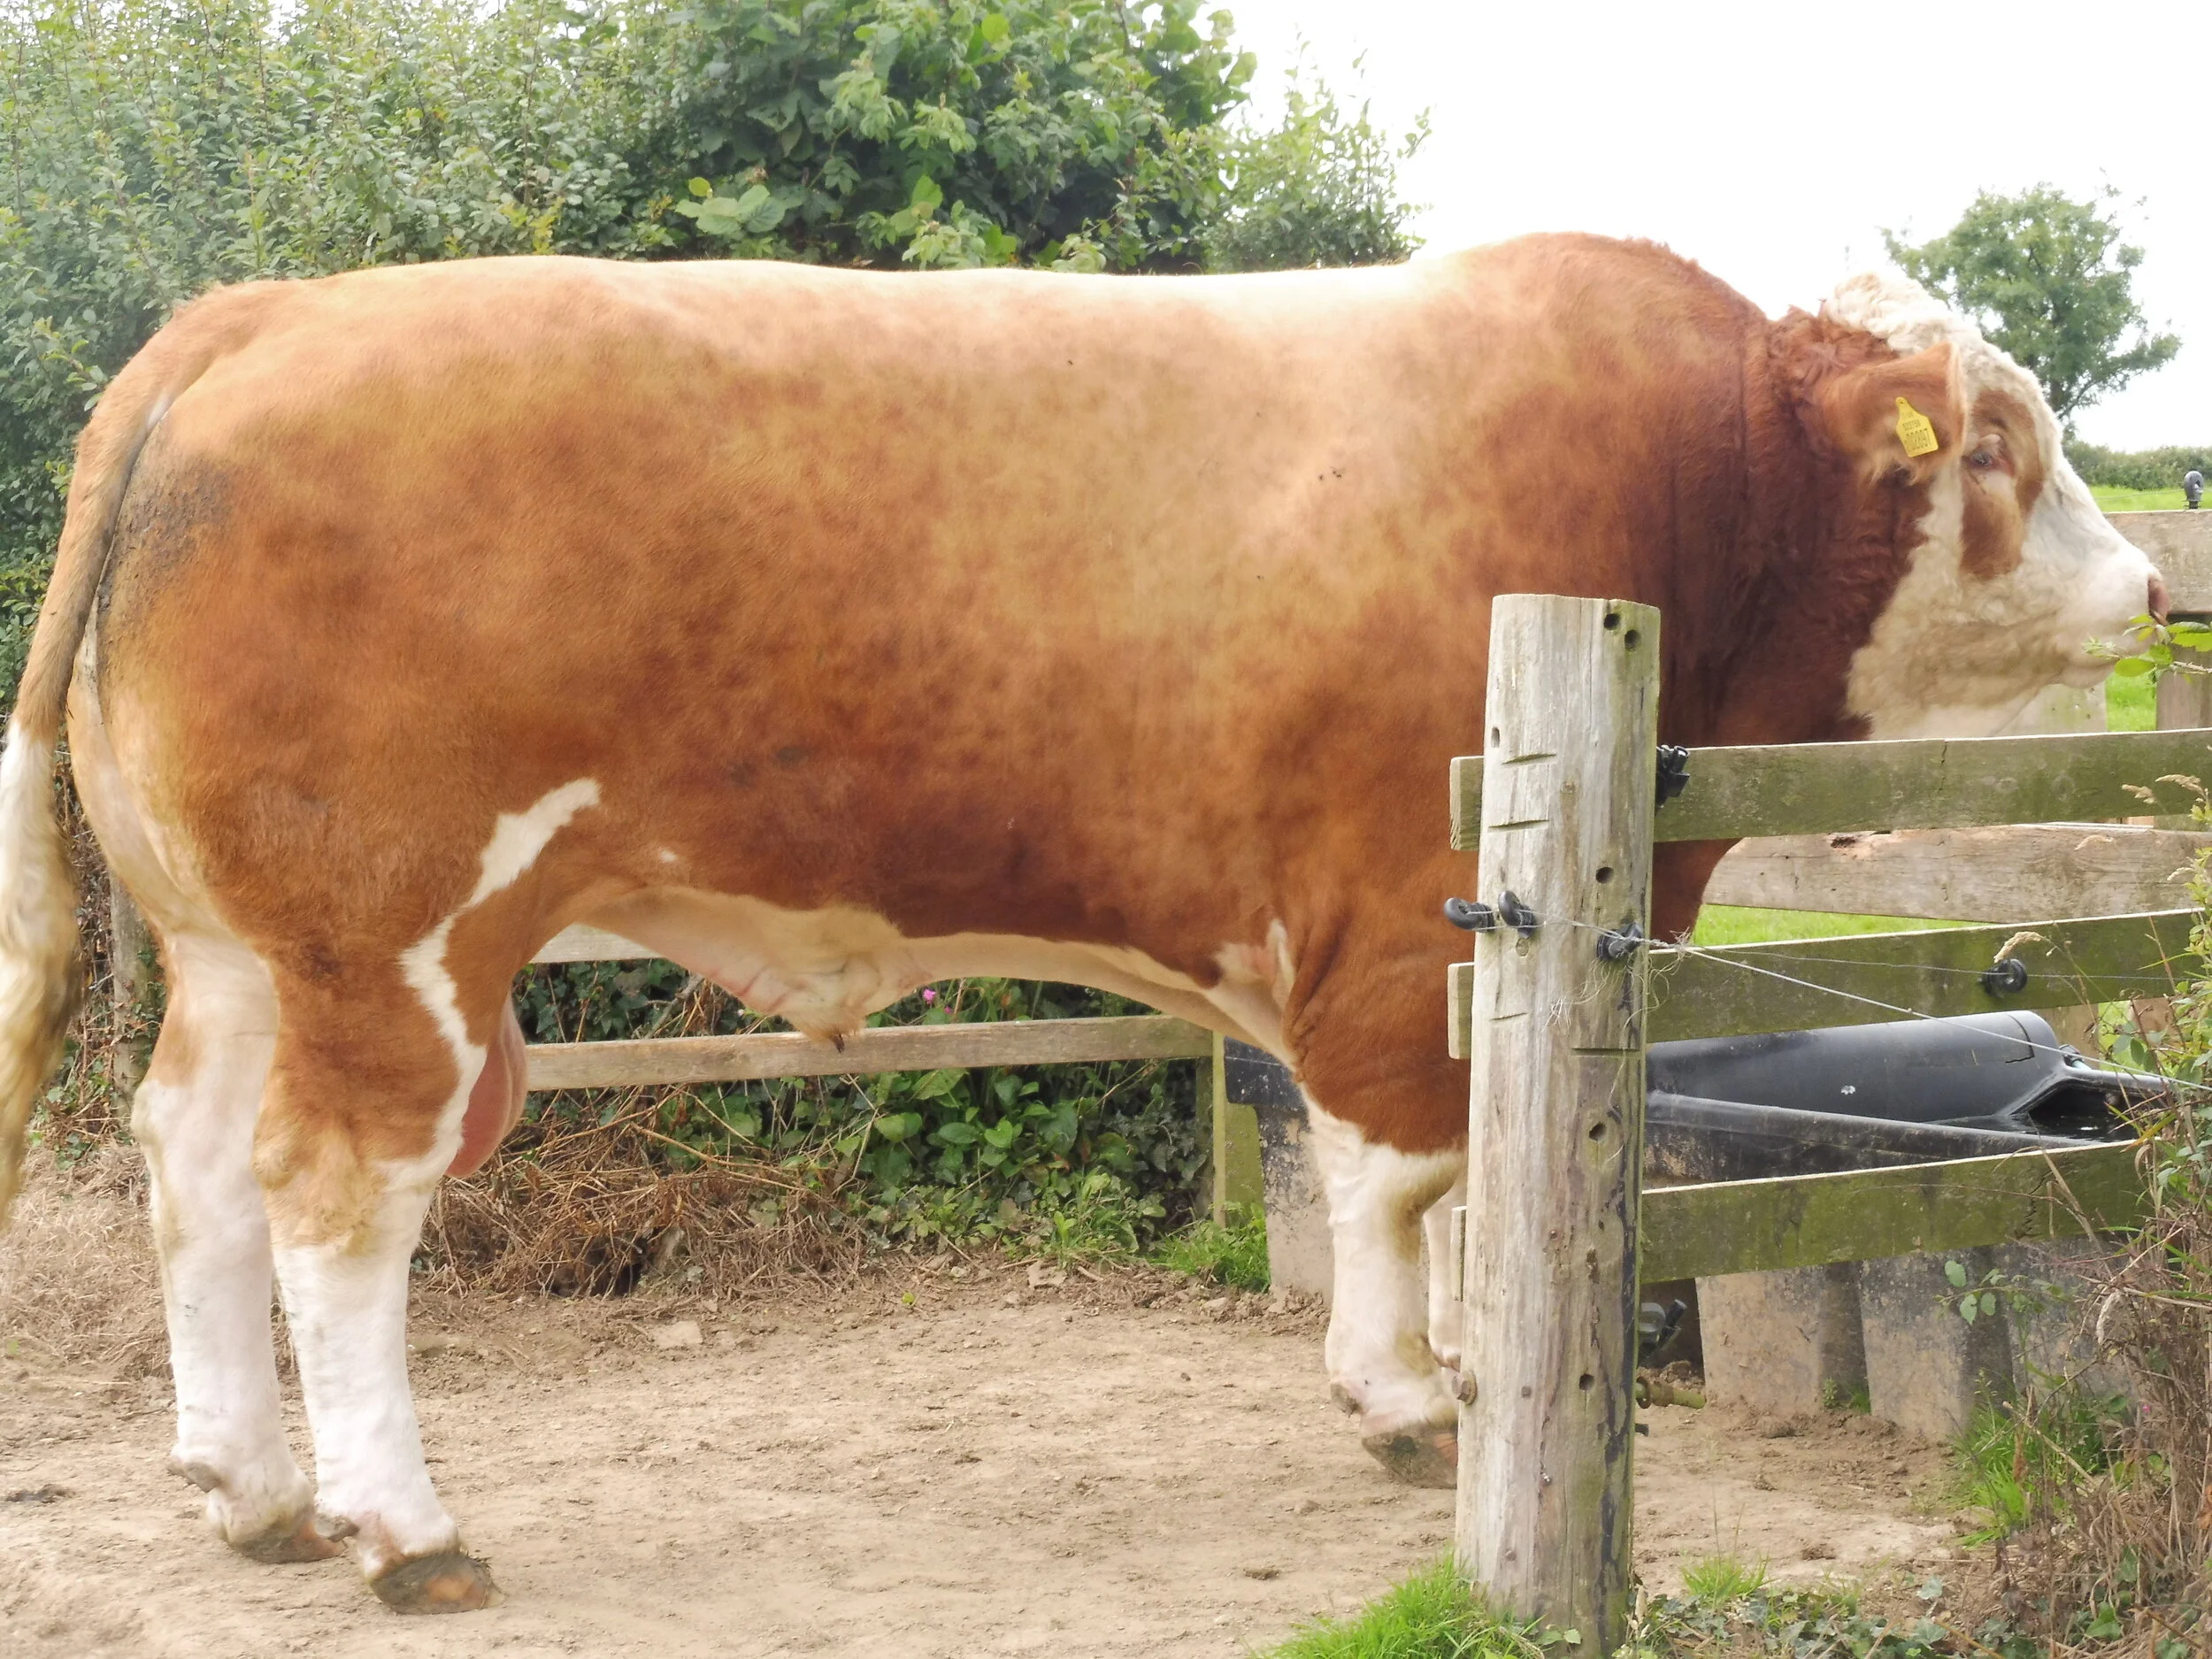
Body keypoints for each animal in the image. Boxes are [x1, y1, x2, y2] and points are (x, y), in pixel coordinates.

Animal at [0, 234, 2161, 1612]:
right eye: (2001, 445)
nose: (2152, 587)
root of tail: (255, 320)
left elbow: (1451, 1174)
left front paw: (1449, 1383)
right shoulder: (1405, 914)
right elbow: (1408, 1174)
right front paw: (1414, 1398)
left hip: (236, 955)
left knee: (190, 1165)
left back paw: (252, 1493)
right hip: (394, 950)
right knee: (332, 1201)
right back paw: (397, 1521)